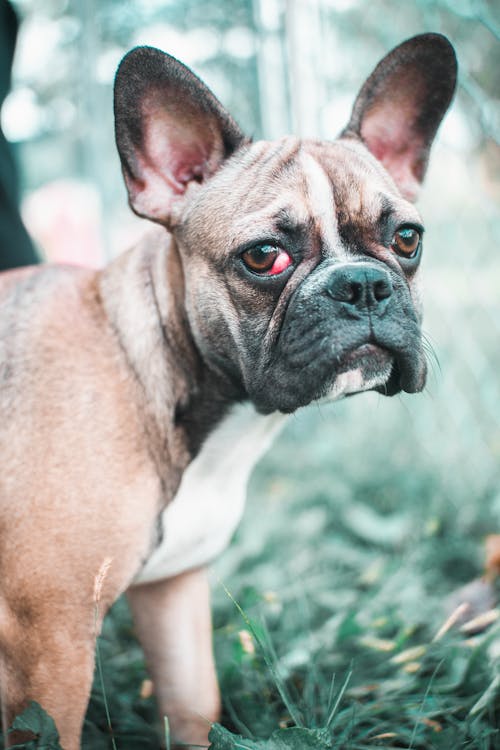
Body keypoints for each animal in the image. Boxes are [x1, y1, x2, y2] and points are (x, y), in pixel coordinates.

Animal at [0, 33, 456, 750]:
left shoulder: (174, 593)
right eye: (264, 256)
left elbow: (194, 705)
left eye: (407, 239)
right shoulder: (49, 643)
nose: (362, 284)